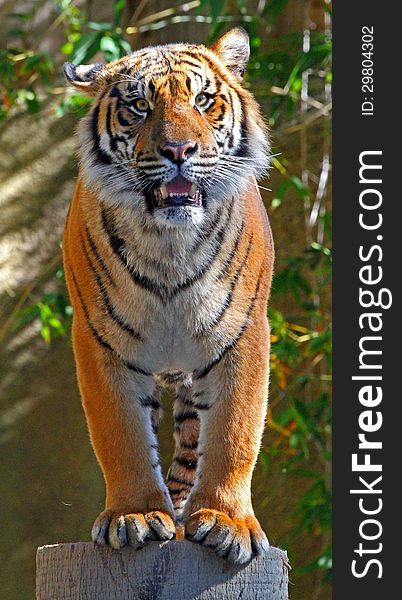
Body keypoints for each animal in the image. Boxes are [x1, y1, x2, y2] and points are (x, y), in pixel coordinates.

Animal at [62, 27, 274, 564]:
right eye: (139, 106)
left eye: (202, 100)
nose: (179, 150)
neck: (169, 244)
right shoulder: (99, 340)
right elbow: (122, 436)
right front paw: (133, 515)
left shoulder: (243, 333)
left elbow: (235, 432)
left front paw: (227, 521)